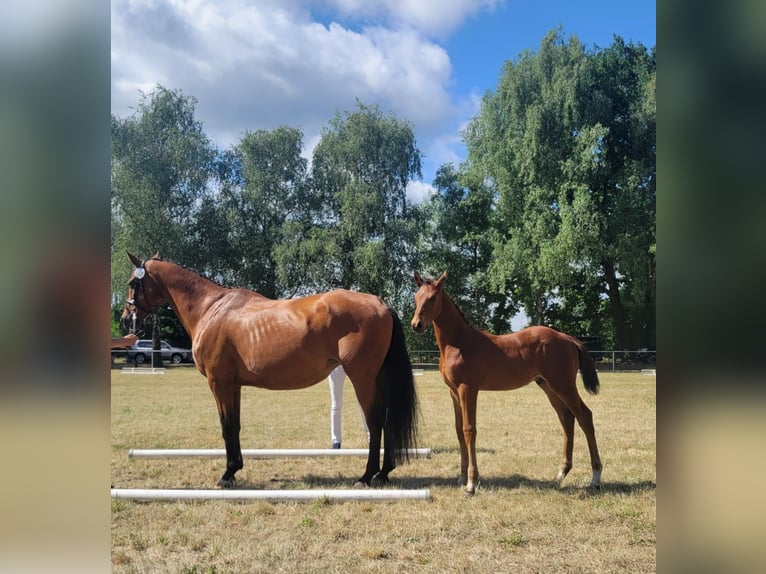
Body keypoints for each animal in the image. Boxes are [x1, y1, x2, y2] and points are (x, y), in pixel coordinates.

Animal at [119, 253, 418, 488]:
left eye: (133, 283)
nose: (125, 320)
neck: (211, 307)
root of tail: (379, 304)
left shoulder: (219, 383)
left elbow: (226, 426)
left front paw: (227, 474)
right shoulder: (233, 385)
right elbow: (236, 424)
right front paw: (235, 468)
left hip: (363, 378)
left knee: (376, 422)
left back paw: (367, 476)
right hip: (376, 379)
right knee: (387, 421)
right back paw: (384, 473)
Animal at [410, 271, 602, 495]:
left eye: (433, 298)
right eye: (416, 297)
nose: (416, 325)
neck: (459, 342)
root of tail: (567, 338)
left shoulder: (468, 389)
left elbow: (469, 430)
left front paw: (471, 483)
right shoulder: (454, 392)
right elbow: (458, 430)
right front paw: (462, 477)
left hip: (564, 386)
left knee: (585, 417)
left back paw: (595, 479)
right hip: (548, 386)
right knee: (567, 419)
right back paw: (561, 474)